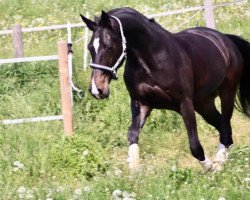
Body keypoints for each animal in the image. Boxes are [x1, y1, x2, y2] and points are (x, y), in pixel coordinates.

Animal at [80, 7, 250, 171]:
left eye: (109, 47)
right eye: (89, 47)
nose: (96, 89)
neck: (153, 58)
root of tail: (225, 39)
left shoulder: (185, 103)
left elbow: (195, 146)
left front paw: (209, 167)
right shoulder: (141, 103)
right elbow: (132, 135)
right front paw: (133, 171)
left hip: (226, 92)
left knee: (226, 127)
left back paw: (218, 164)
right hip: (203, 103)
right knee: (222, 126)